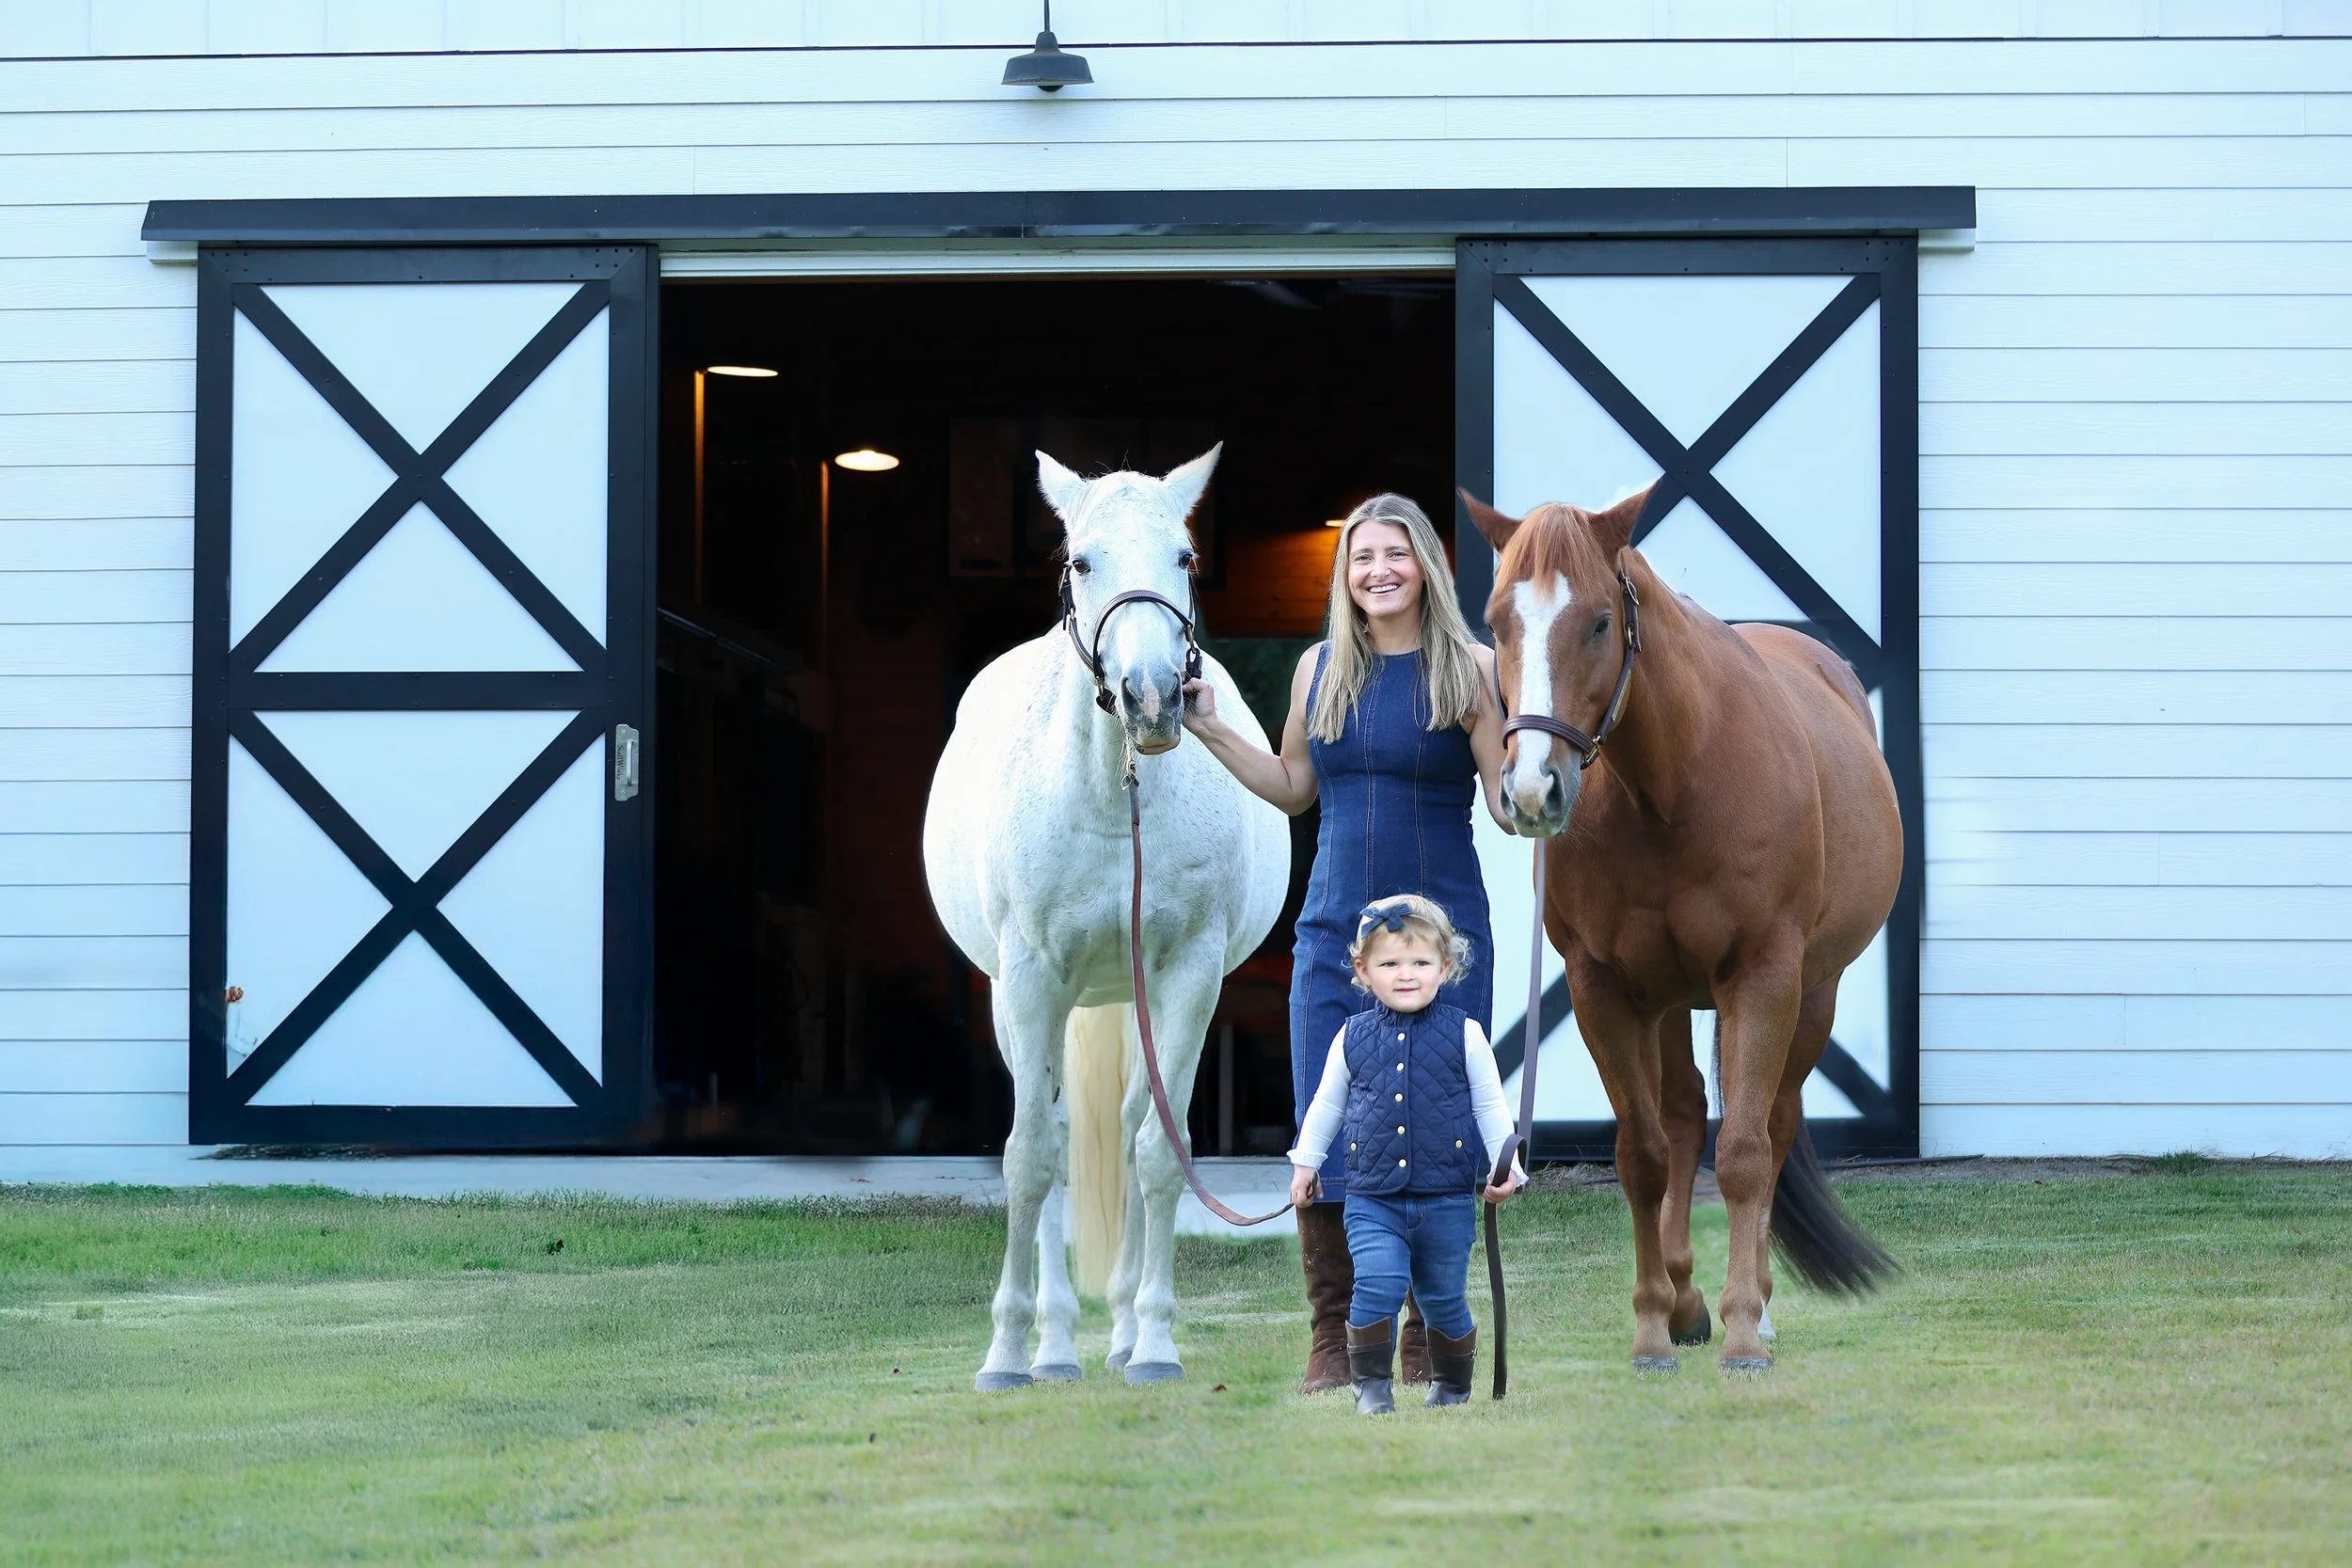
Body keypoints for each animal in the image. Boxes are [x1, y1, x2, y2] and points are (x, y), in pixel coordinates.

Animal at [923, 444, 1290, 1389]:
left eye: (1184, 557)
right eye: (1081, 561)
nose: (1152, 697)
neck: (1107, 796)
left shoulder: (1187, 974)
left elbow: (1159, 1151)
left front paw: (1155, 1341)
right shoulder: (1027, 979)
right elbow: (1028, 1157)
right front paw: (1008, 1351)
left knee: (1125, 1131)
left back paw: (1121, 1329)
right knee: (1054, 1134)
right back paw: (1055, 1345)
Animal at [1462, 487, 1902, 1372]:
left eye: (1600, 621)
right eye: (1496, 621)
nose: (1530, 791)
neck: (1675, 783)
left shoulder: (1763, 976)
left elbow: (1744, 1153)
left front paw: (1742, 1331)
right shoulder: (1603, 987)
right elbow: (1643, 1154)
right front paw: (1655, 1325)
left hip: (1814, 994)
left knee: (1772, 1123)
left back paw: (1751, 1301)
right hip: (1666, 999)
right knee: (1683, 1115)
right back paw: (1686, 1293)